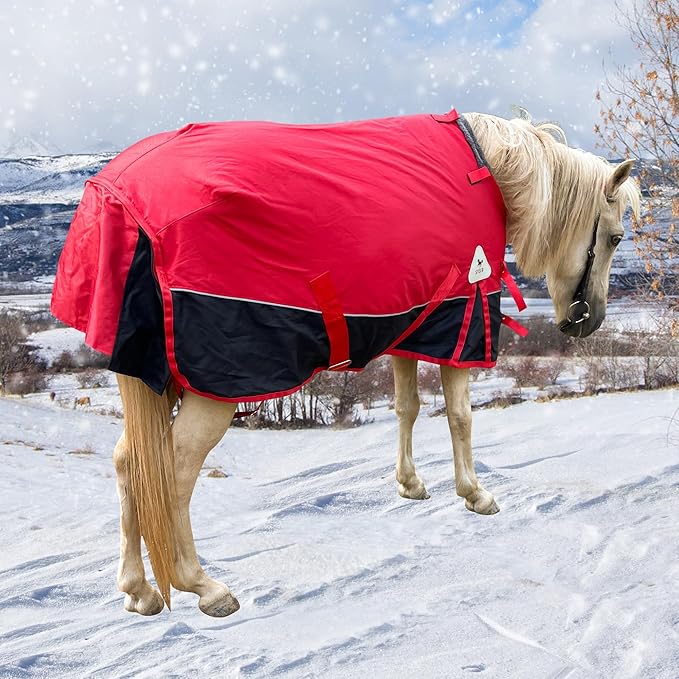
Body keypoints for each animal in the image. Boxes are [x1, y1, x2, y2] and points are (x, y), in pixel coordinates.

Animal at [61, 111, 640, 618]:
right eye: (614, 237)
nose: (588, 323)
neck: (491, 169)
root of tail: (123, 199)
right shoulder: (461, 317)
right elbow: (460, 417)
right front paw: (475, 494)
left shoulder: (412, 325)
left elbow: (407, 407)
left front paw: (410, 484)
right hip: (213, 390)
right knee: (172, 473)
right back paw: (201, 584)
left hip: (151, 376)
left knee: (128, 464)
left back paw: (138, 590)